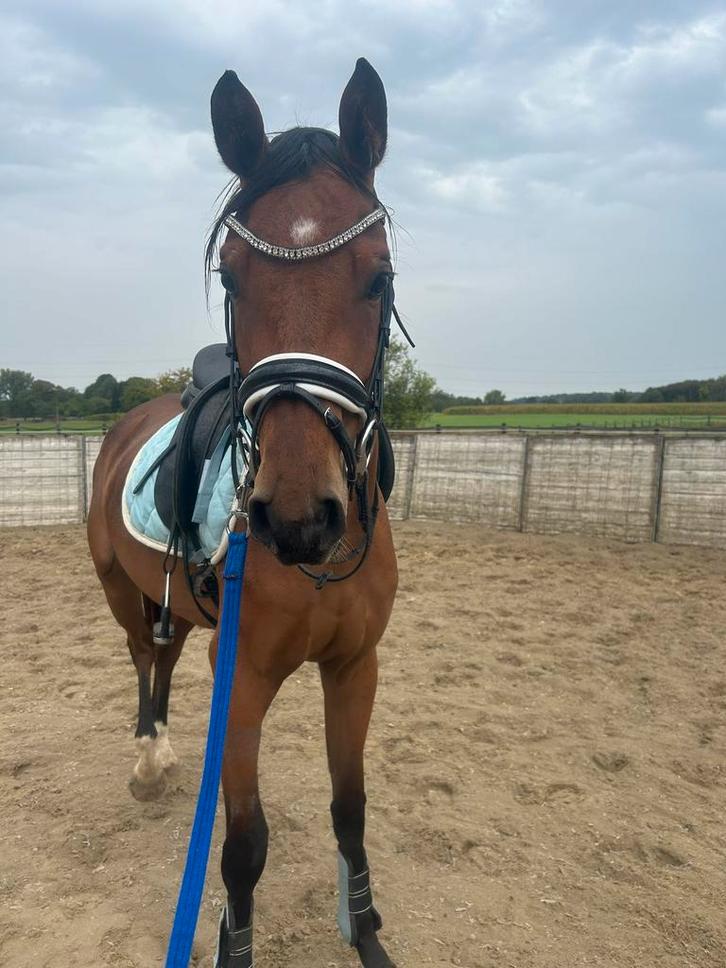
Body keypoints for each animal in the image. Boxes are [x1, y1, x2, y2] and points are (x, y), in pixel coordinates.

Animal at [87, 58, 400, 968]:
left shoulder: (355, 667)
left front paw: (367, 934)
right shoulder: (245, 678)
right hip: (120, 592)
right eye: (231, 277)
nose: (298, 516)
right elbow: (242, 847)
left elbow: (350, 810)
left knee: (163, 655)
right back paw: (150, 760)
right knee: (142, 660)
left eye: (379, 274)